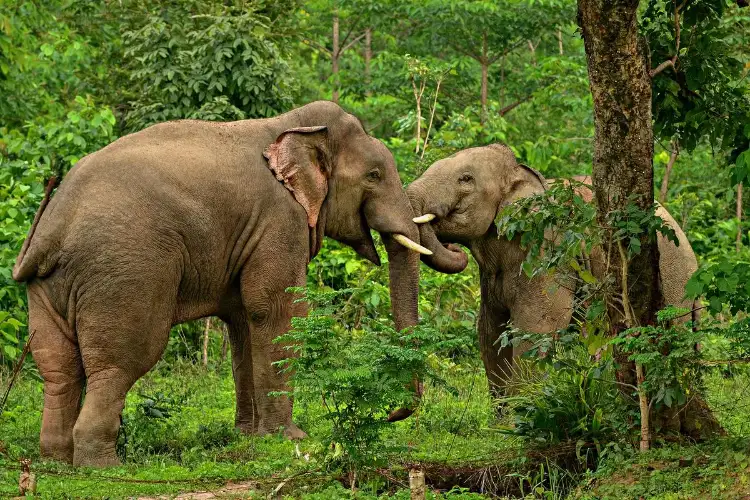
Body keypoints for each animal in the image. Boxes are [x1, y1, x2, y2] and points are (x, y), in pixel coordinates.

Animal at [12, 101, 431, 467]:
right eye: (374, 175)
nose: (393, 414)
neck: (292, 126)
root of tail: (53, 225)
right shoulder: (279, 220)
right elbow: (276, 310)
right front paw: (290, 438)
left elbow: (244, 319)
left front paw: (248, 436)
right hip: (123, 272)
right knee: (120, 362)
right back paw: (103, 466)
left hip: (49, 286)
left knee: (58, 369)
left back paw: (56, 459)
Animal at [406, 143, 699, 399]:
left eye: (465, 179)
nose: (451, 246)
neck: (519, 173)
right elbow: (489, 331)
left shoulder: (548, 250)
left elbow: (536, 327)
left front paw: (520, 414)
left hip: (673, 277)